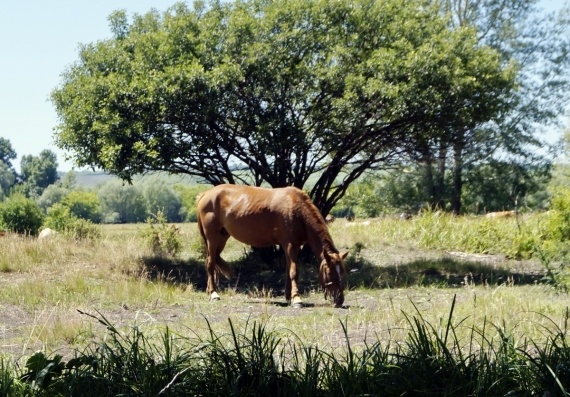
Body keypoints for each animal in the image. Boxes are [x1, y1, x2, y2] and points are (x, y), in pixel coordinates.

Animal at [195, 184, 346, 308]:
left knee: (211, 260)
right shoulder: (290, 245)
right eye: (329, 272)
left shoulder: (293, 247)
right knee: (210, 263)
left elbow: (288, 270)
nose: (340, 300)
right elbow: (294, 272)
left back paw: (209, 290)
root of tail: (206, 194)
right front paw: (297, 299)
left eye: (342, 272)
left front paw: (289, 296)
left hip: (222, 236)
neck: (296, 209)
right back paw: (214, 293)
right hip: (212, 237)